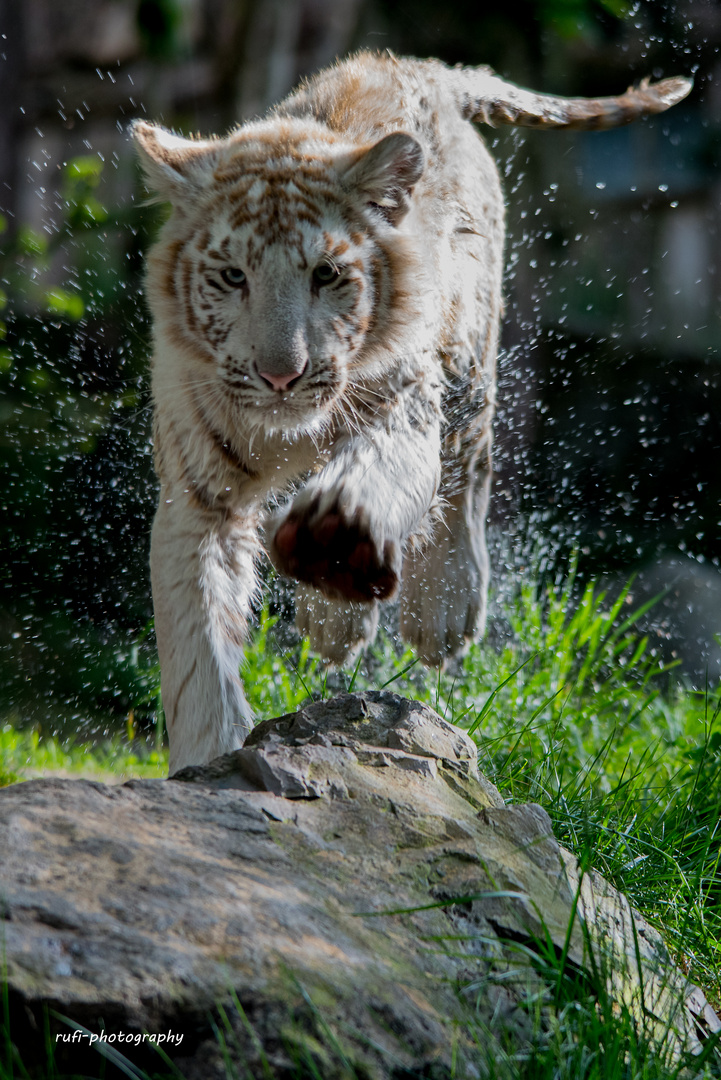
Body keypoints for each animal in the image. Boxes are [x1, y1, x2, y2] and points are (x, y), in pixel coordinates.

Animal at [132, 52, 690, 777]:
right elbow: (198, 650)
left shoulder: (405, 405)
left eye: (326, 275)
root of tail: (422, 65)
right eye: (232, 276)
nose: (281, 376)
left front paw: (337, 538)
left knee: (467, 472)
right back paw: (333, 621)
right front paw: (207, 761)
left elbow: (376, 476)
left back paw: (435, 614)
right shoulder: (199, 497)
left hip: (467, 360)